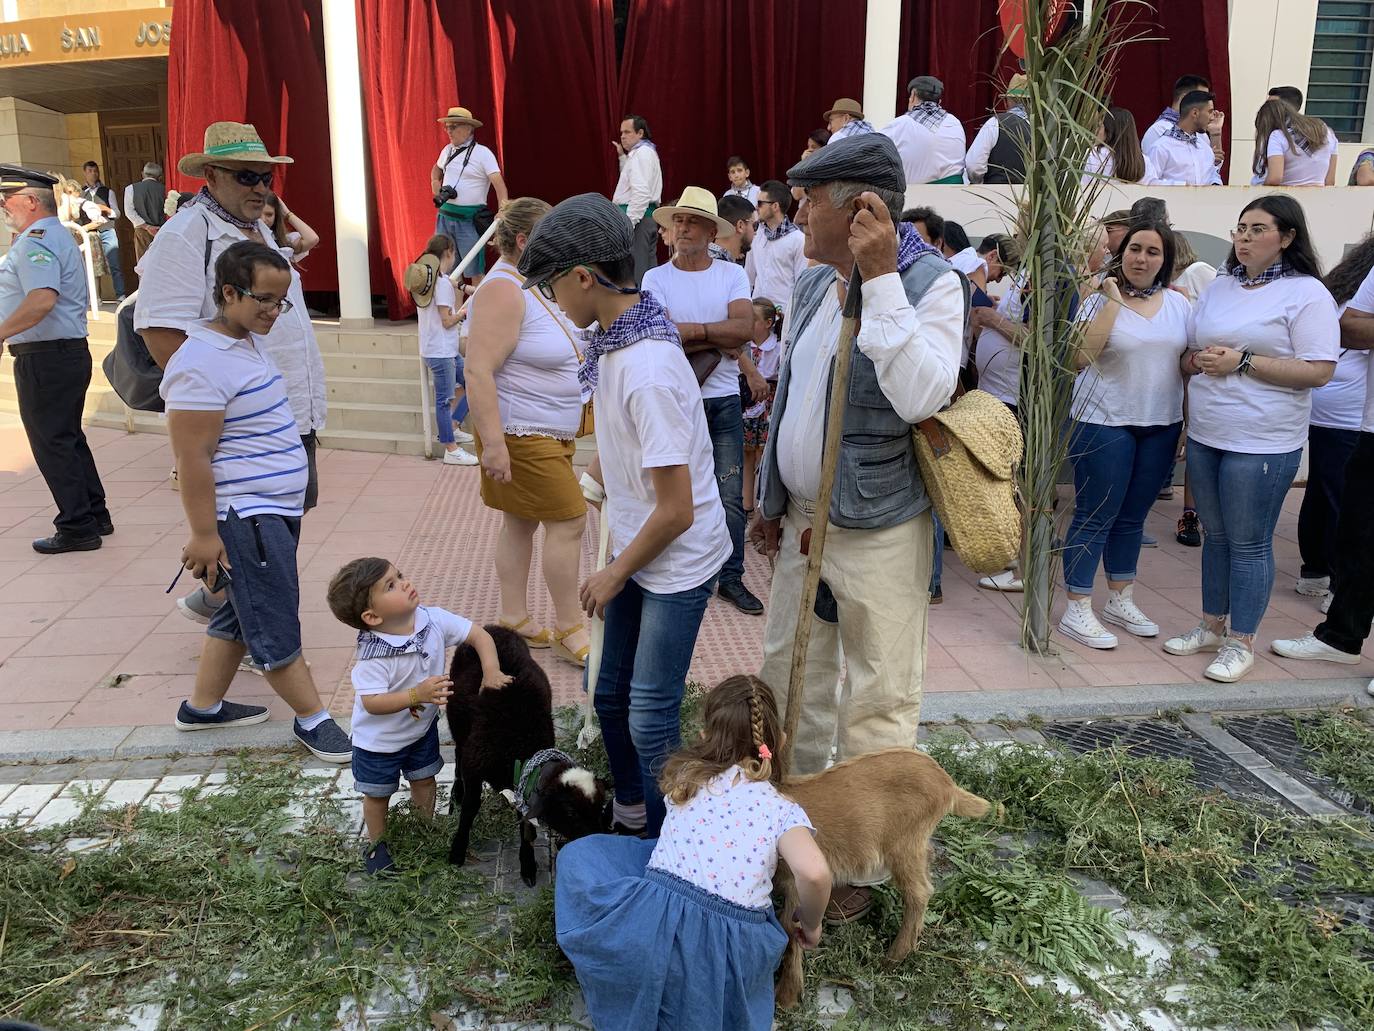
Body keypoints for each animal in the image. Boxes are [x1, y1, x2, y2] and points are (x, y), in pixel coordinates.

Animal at [774, 753, 989, 1011]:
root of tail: (947, 784)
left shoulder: (798, 881)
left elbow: (789, 929)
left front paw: (786, 996)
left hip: (903, 845)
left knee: (920, 892)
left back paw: (894, 957)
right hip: (916, 845)